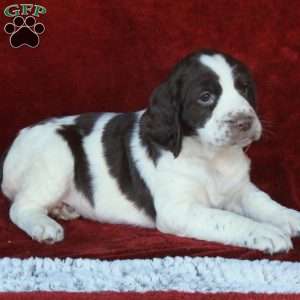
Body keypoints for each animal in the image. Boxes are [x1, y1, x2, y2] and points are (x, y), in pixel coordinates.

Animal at [0, 49, 300, 253]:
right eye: (205, 97)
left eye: (244, 88)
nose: (244, 122)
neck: (210, 157)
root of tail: (17, 138)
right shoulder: (178, 210)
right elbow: (226, 218)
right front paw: (265, 232)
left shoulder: (241, 189)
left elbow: (266, 203)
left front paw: (290, 218)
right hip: (57, 151)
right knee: (20, 206)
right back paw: (44, 225)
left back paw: (62, 209)